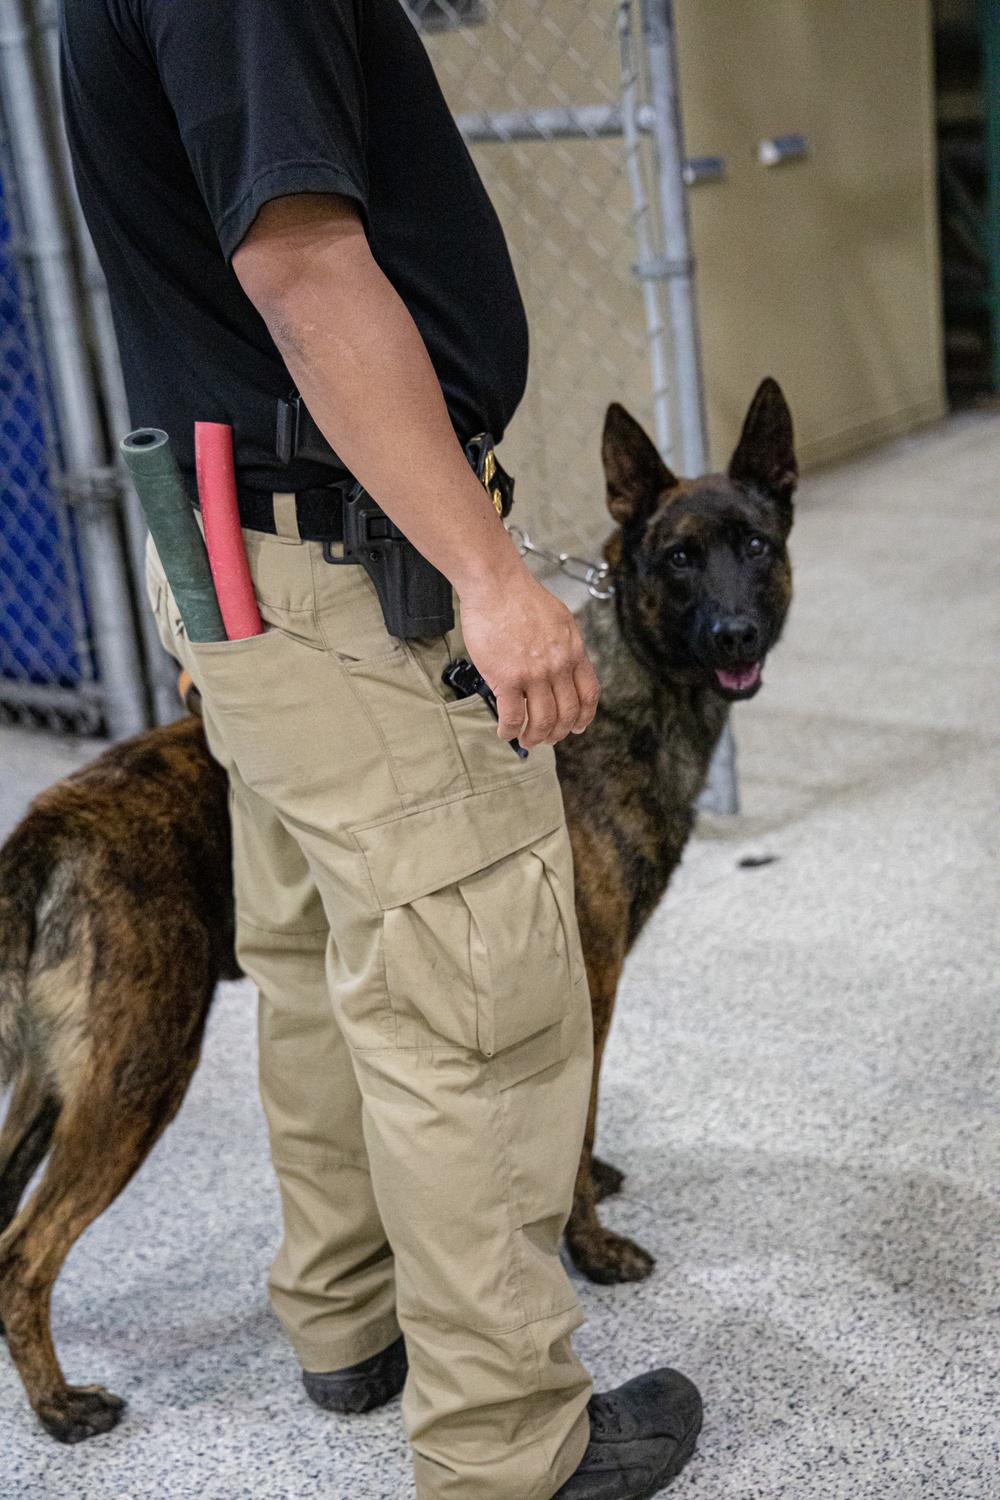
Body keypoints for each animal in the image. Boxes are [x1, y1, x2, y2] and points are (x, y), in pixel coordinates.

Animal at [1, 375, 797, 1440]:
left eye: (755, 545)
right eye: (678, 558)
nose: (734, 636)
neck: (630, 688)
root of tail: (54, 817)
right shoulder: (580, 981)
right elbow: (577, 1121)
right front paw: (592, 1247)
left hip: (54, 1082)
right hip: (138, 1070)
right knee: (25, 1251)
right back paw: (58, 1408)